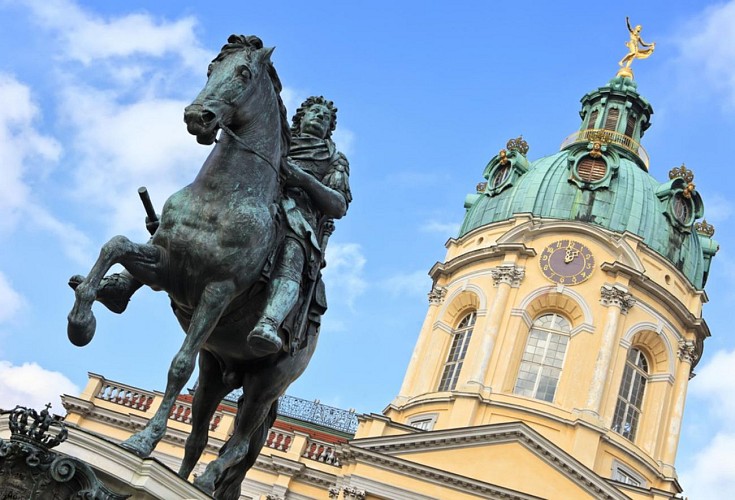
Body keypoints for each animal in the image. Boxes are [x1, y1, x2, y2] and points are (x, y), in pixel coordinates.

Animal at [66, 34, 314, 496]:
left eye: (244, 73)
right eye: (210, 69)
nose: (198, 116)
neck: (222, 194)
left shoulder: (218, 291)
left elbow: (179, 364)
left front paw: (142, 441)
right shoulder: (166, 267)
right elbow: (116, 245)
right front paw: (81, 321)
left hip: (266, 383)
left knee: (238, 444)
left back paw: (207, 479)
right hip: (216, 371)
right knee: (199, 437)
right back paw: (184, 477)